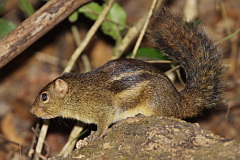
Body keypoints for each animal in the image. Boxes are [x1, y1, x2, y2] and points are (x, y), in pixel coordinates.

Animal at [30, 6, 225, 141]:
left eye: (44, 96)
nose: (32, 110)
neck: (78, 94)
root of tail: (179, 102)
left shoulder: (104, 110)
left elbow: (103, 124)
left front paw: (95, 136)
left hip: (154, 104)